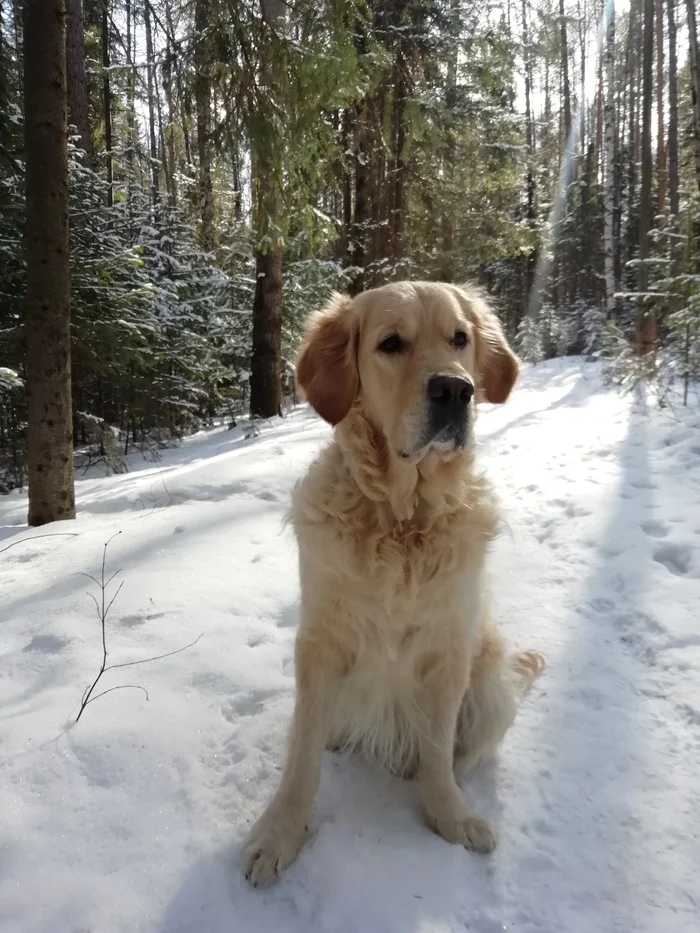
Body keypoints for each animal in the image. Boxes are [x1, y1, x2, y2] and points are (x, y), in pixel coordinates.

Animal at [243, 280, 544, 884]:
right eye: (390, 343)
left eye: (460, 338)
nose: (456, 390)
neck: (402, 518)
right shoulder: (320, 643)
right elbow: (302, 756)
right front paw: (280, 832)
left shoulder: (449, 649)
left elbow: (438, 752)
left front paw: (450, 817)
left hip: (491, 686)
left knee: (459, 750)